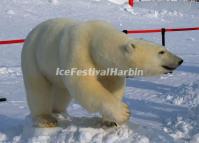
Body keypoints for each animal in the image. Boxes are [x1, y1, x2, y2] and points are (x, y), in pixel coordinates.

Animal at [21, 18, 183, 127]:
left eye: (164, 48)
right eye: (161, 52)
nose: (180, 60)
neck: (94, 38)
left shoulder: (107, 67)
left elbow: (113, 86)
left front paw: (109, 121)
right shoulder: (77, 50)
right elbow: (83, 84)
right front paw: (124, 112)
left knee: (62, 91)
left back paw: (59, 111)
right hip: (33, 56)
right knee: (38, 88)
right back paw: (46, 118)